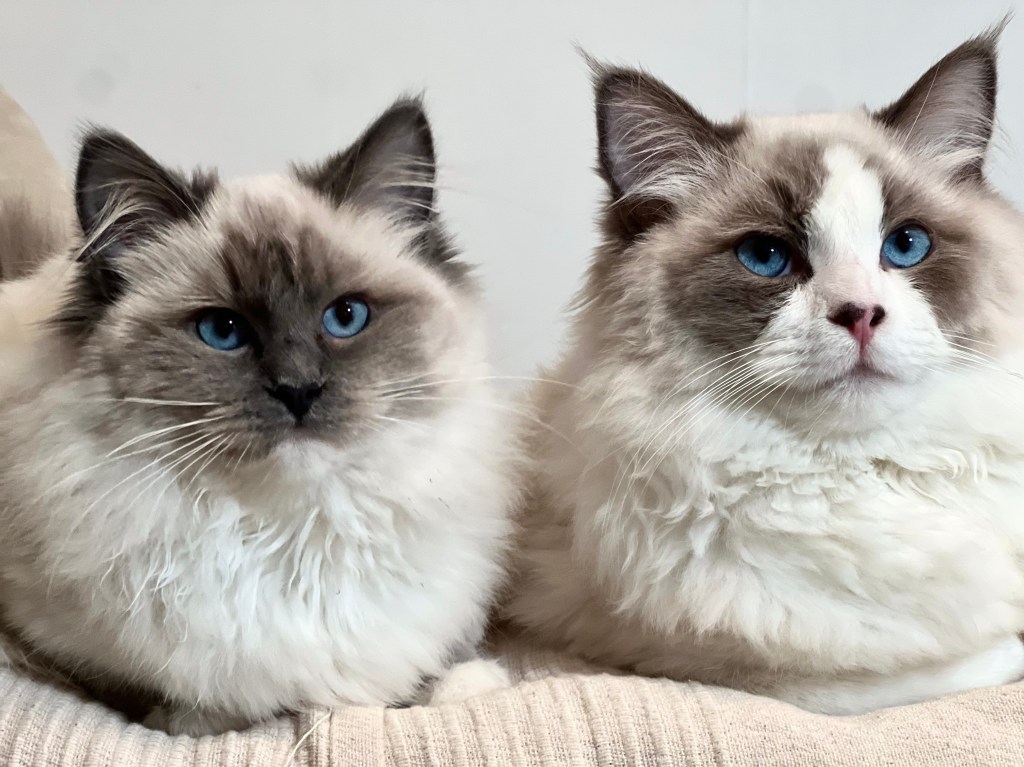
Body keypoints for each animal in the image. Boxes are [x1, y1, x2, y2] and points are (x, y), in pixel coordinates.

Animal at [0, 97, 519, 735]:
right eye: (222, 330)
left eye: (345, 317)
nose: (298, 391)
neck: (286, 536)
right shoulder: (61, 645)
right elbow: (168, 703)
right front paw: (190, 719)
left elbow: (439, 678)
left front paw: (464, 687)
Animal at [505, 27, 1024, 714]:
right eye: (766, 256)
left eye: (906, 245)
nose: (861, 314)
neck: (849, 476)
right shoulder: (716, 663)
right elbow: (941, 664)